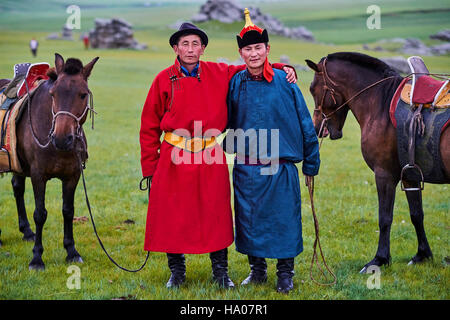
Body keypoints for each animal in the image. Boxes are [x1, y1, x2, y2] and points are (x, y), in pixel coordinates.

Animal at [0, 53, 98, 270]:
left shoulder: (72, 175)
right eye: (53, 94)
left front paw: (71, 251)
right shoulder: (38, 175)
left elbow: (68, 211)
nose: (61, 138)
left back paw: (27, 231)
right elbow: (40, 213)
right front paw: (37, 258)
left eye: (83, 94)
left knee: (17, 187)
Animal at [304, 52, 448, 272]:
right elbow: (416, 214)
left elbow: (385, 218)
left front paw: (379, 259)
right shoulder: (410, 175)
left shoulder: (384, 175)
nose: (317, 127)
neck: (381, 104)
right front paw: (422, 255)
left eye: (313, 88)